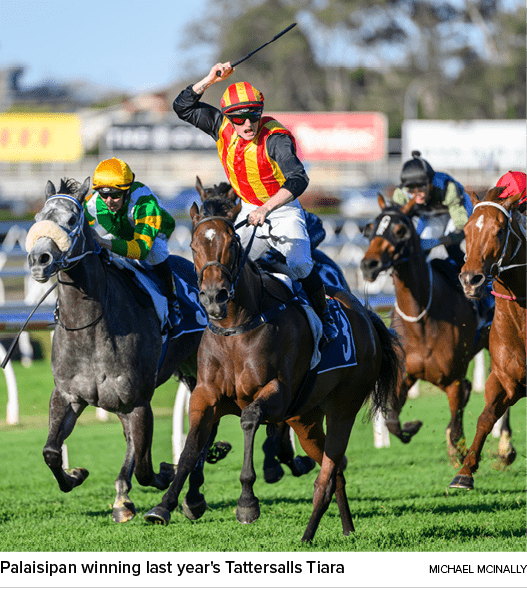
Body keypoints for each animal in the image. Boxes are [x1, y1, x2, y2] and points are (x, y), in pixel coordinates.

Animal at [142, 195, 402, 544]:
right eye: (195, 245)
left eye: (232, 242)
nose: (213, 297)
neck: (235, 327)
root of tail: (366, 317)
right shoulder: (205, 396)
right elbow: (190, 448)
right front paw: (164, 505)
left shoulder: (277, 393)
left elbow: (250, 419)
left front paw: (247, 503)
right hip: (306, 419)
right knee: (336, 471)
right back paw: (346, 529)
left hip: (343, 407)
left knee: (328, 471)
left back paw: (308, 534)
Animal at [360, 197, 492, 464]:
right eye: (371, 228)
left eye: (400, 230)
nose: (369, 265)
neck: (421, 324)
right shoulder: (403, 377)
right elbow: (392, 421)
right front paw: (412, 426)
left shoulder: (453, 380)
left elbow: (456, 424)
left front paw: (460, 455)